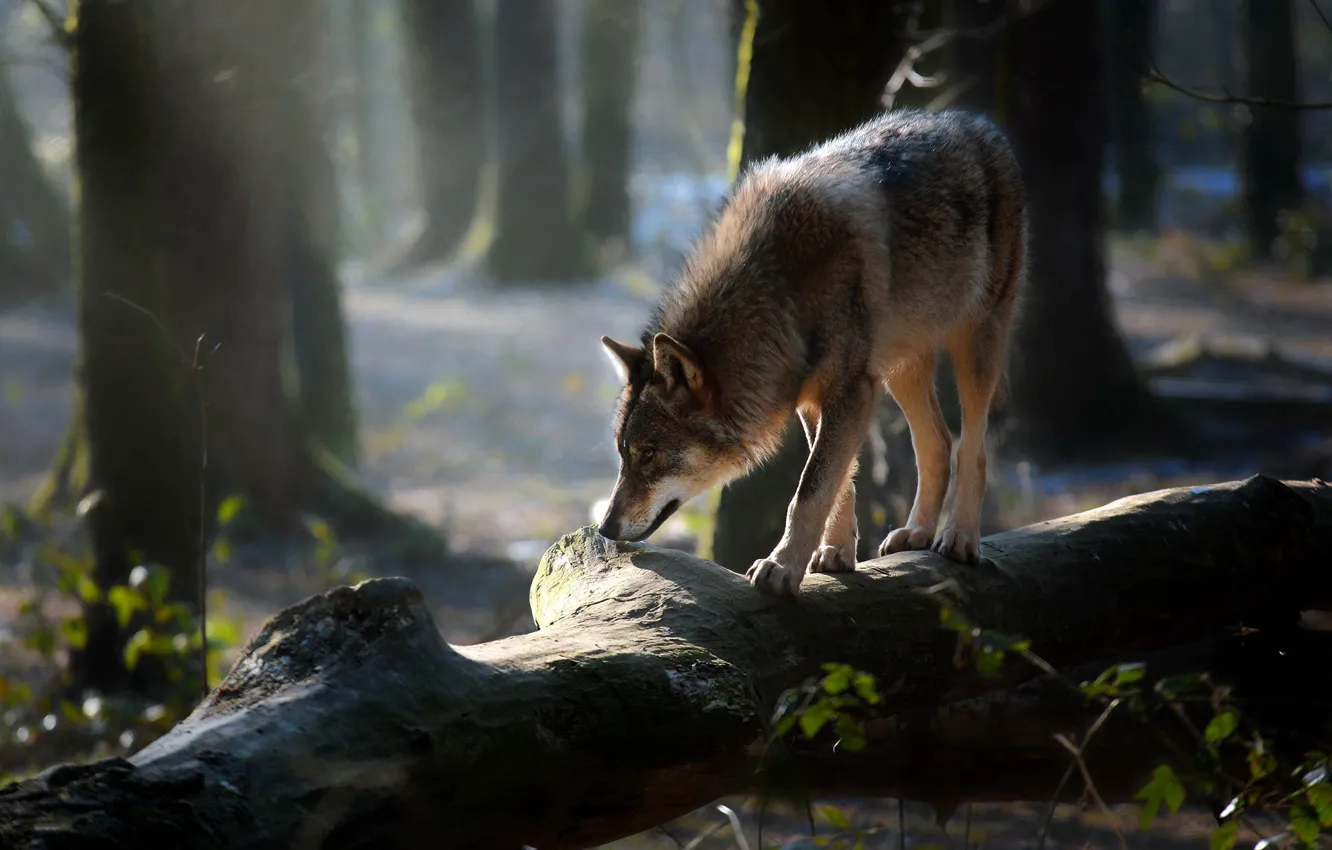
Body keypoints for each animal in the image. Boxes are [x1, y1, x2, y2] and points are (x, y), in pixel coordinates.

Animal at [596, 108, 1027, 597]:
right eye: (623, 453)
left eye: (649, 454)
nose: (605, 529)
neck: (780, 288)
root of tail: (979, 123)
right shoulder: (814, 398)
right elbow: (840, 481)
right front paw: (835, 555)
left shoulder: (850, 391)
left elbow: (811, 488)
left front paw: (782, 567)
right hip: (899, 368)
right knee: (937, 441)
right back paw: (916, 532)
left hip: (976, 343)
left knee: (971, 446)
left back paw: (959, 537)